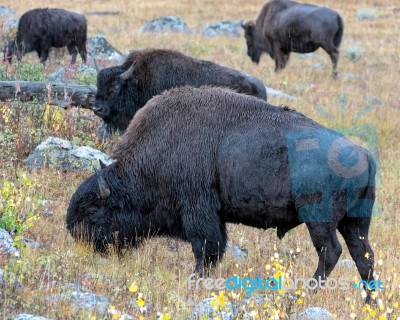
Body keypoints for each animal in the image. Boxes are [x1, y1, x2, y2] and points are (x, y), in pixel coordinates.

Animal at [67, 85, 376, 302]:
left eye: (93, 210)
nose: (75, 233)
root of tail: (364, 153)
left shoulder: (198, 211)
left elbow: (206, 248)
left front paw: (196, 280)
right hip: (355, 223)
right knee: (363, 255)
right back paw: (369, 302)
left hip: (320, 219)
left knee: (331, 252)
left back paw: (303, 294)